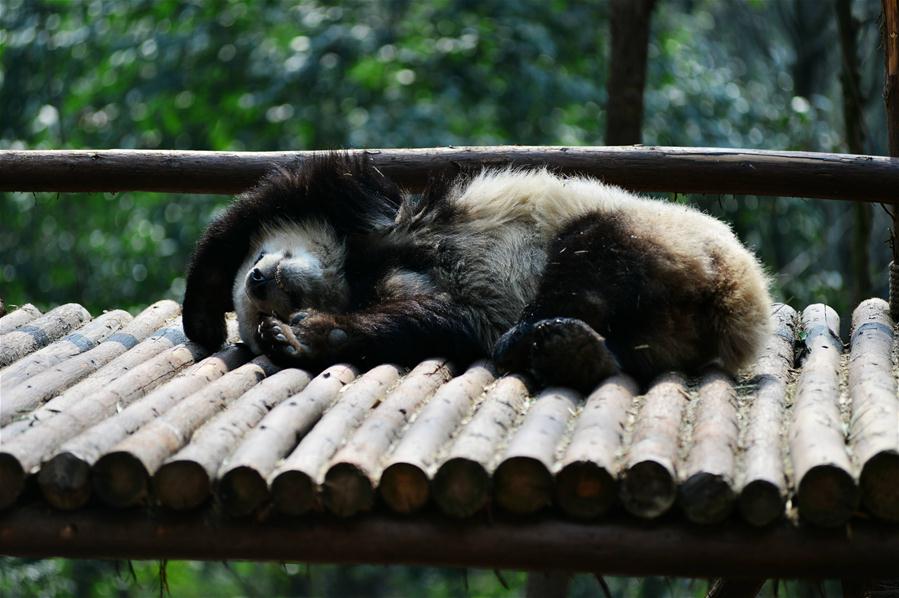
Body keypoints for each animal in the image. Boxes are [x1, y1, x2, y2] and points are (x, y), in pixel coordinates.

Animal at [181, 152, 768, 392]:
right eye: (259, 303)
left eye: (262, 263)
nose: (260, 280)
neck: (350, 273)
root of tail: (740, 301)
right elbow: (435, 316)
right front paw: (302, 336)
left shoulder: (365, 208)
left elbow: (262, 205)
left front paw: (213, 320)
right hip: (666, 327)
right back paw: (572, 350)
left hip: (654, 231)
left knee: (587, 259)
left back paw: (532, 339)